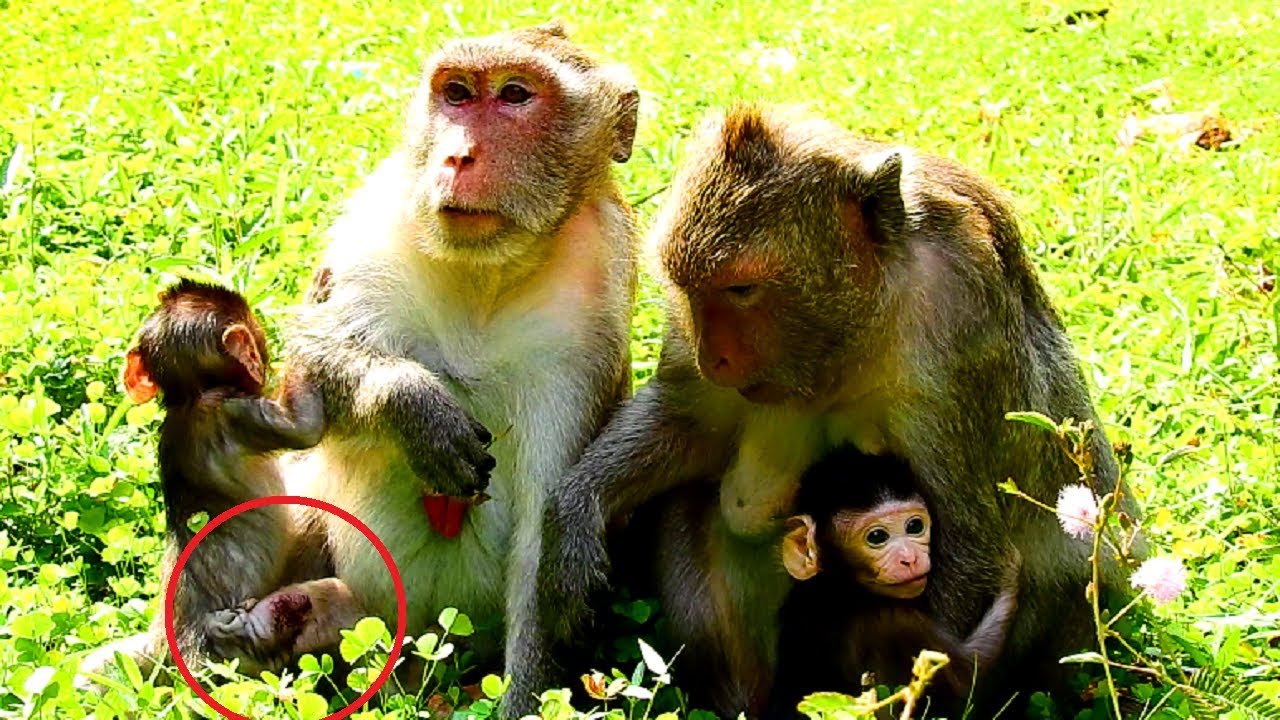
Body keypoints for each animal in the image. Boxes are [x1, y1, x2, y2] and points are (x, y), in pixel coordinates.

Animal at [275, 22, 638, 716]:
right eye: (458, 93)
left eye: (516, 95)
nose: (458, 156)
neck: (486, 277)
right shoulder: (375, 226)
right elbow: (301, 384)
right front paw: (413, 407)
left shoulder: (585, 324)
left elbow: (540, 548)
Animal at [764, 446, 1020, 720]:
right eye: (877, 537)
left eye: (915, 526)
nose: (909, 558)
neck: (839, 587)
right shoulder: (895, 622)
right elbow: (969, 677)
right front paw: (1011, 574)